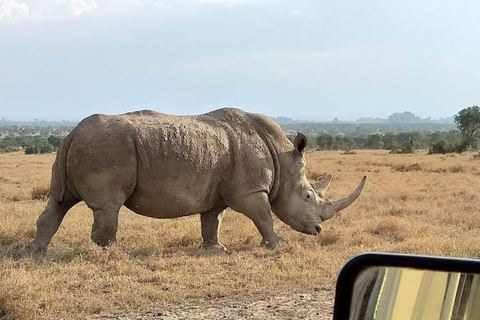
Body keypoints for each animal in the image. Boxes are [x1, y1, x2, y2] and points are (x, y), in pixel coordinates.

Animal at [28, 108, 366, 252]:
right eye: (308, 196)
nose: (318, 230)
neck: (283, 160)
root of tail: (71, 132)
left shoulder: (216, 192)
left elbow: (212, 220)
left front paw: (215, 249)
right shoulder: (250, 190)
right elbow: (264, 216)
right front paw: (277, 245)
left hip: (83, 147)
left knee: (60, 201)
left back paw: (36, 251)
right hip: (107, 148)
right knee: (108, 206)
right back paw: (111, 252)